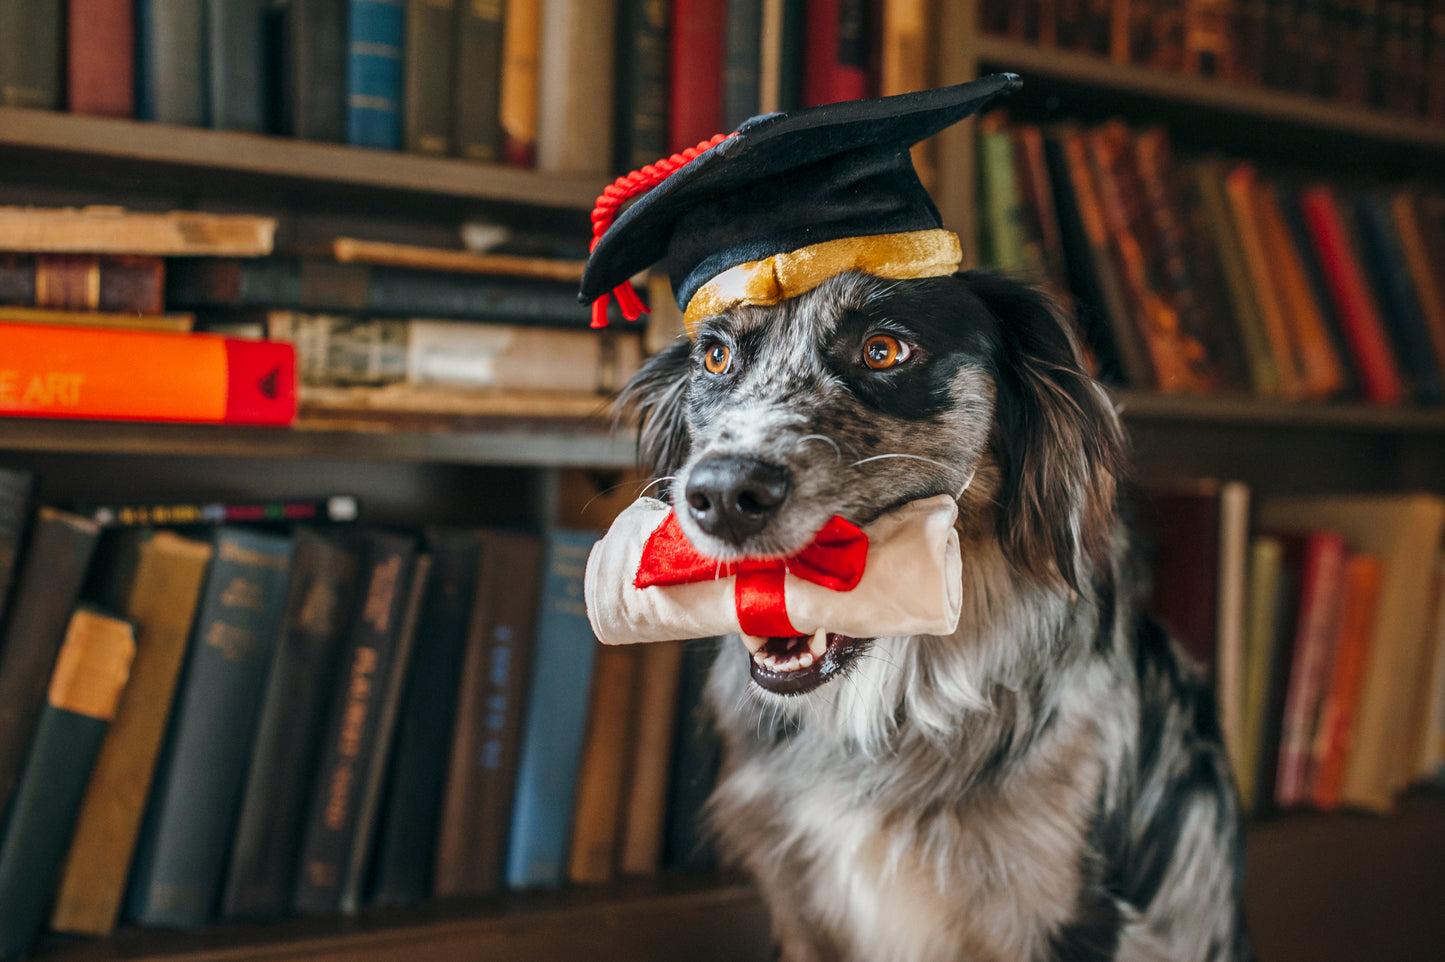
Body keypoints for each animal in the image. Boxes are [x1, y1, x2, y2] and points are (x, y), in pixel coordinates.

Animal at [615, 267, 1248, 959]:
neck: (886, 707)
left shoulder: (1064, 912)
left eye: (883, 350)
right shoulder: (800, 903)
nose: (724, 495)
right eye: (716, 356)